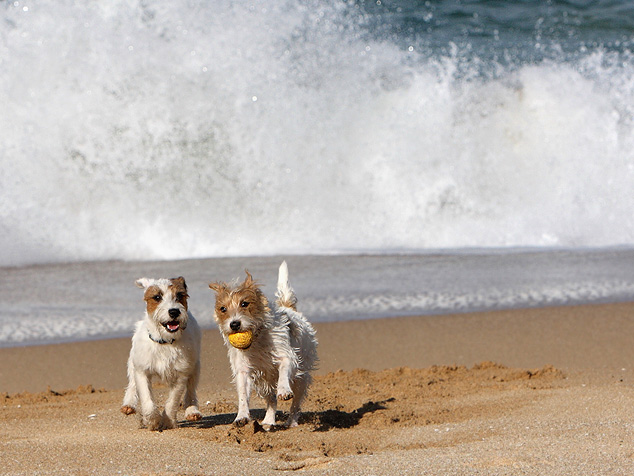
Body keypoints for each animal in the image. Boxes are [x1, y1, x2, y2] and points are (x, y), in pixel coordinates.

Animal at [121, 276, 202, 432]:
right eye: (157, 297)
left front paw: (167, 421)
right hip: (133, 361)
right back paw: (128, 404)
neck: (165, 342)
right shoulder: (142, 371)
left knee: (191, 389)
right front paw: (152, 420)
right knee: (132, 383)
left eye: (180, 296)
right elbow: (147, 398)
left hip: (195, 366)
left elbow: (173, 400)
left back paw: (192, 410)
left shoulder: (181, 375)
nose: (174, 311)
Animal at [207, 262, 316, 430]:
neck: (257, 340)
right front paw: (242, 416)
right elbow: (243, 396)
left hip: (301, 377)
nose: (234, 324)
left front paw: (283, 389)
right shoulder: (244, 371)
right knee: (271, 401)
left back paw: (291, 421)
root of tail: (289, 308)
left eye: (244, 303)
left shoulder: (287, 356)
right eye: (223, 309)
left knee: (296, 403)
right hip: (262, 382)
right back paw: (269, 421)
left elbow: (284, 371)